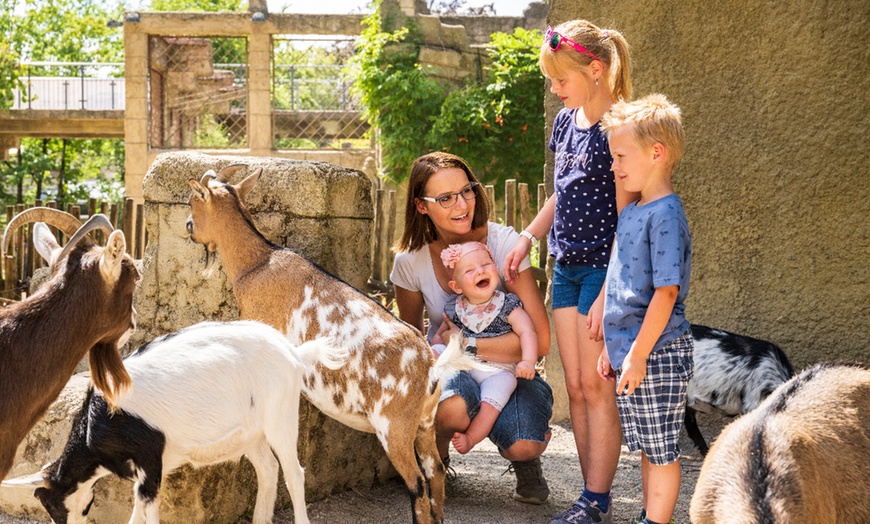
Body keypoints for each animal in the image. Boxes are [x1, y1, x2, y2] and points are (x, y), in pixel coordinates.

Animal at [4, 320, 350, 524]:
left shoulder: (149, 454)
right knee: (268, 469)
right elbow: (138, 507)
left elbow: (148, 506)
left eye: (50, 504)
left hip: (280, 415)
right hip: (252, 433)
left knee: (294, 472)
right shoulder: (148, 466)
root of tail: (294, 353)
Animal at [186, 164, 488, 524]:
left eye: (193, 202)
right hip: (425, 424)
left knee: (416, 483)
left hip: (394, 427)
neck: (256, 263)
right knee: (436, 472)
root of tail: (430, 368)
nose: (189, 228)